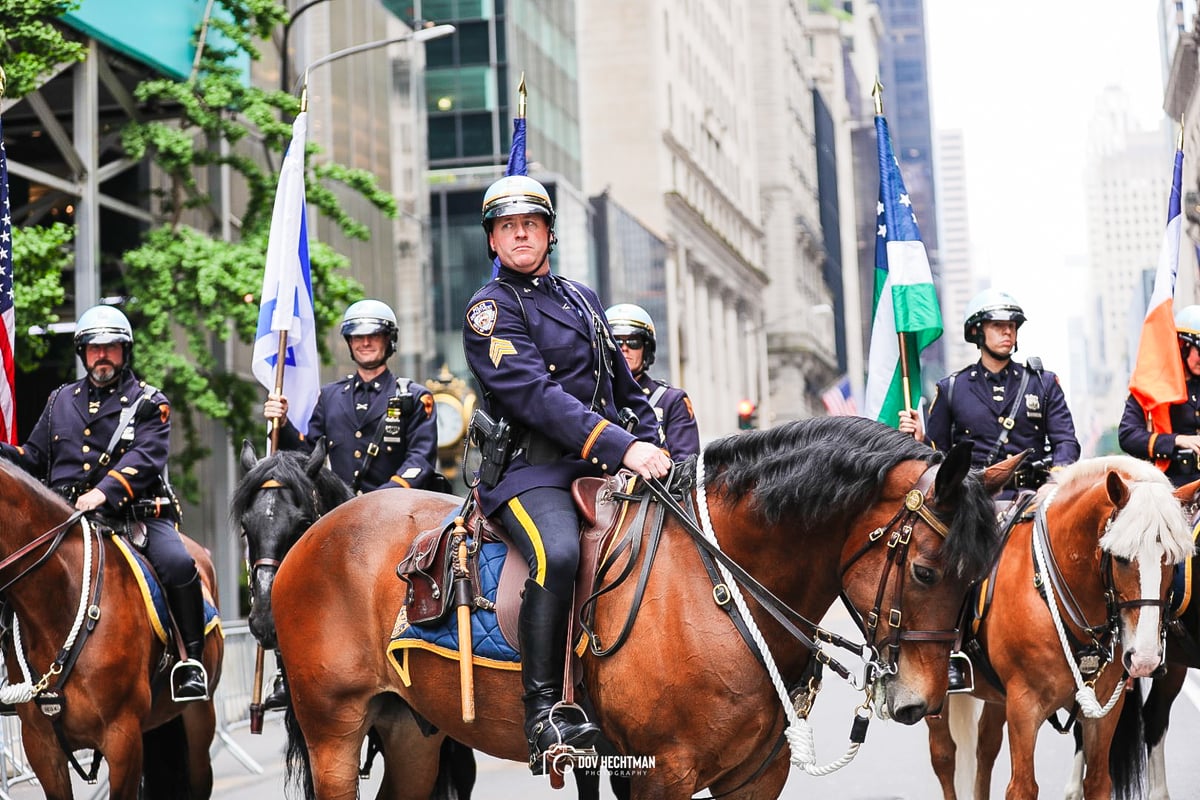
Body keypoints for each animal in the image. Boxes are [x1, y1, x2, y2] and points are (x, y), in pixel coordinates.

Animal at [274, 417, 1022, 796]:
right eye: (925, 569)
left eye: (977, 576)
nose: (920, 702)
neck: (718, 581)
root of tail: (313, 535)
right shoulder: (662, 773)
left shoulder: (755, 777)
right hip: (334, 732)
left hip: (410, 732)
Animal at [921, 455, 1195, 800]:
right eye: (1120, 557)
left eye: (1173, 560)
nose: (1145, 659)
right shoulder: (1024, 707)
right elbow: (1022, 786)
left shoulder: (1104, 709)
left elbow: (1097, 782)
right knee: (944, 755)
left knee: (985, 748)